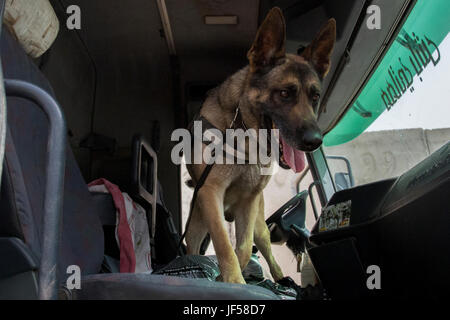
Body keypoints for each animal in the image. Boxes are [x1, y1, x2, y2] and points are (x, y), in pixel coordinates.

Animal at [185, 6, 336, 282]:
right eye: (285, 93)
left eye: (315, 97)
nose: (314, 142)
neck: (245, 134)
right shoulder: (210, 193)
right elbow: (224, 244)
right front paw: (233, 281)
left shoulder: (249, 203)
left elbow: (243, 249)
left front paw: (230, 278)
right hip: (197, 223)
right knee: (193, 246)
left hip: (259, 224)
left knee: (264, 247)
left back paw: (280, 278)